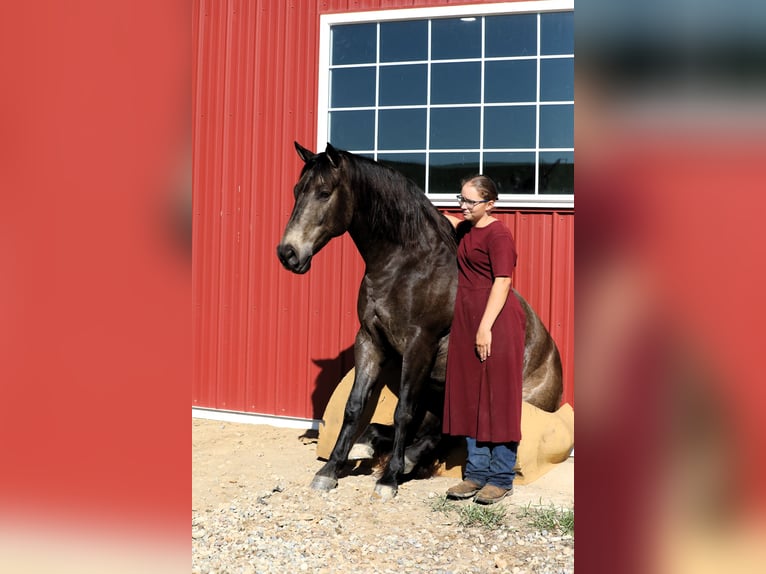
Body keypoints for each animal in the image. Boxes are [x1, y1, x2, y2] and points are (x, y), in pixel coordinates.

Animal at [278, 143, 564, 500]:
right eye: (296, 191)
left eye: (324, 192)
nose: (288, 253)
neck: (407, 266)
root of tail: (554, 363)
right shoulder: (369, 340)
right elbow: (354, 406)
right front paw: (330, 469)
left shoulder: (419, 346)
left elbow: (403, 412)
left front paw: (388, 479)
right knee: (435, 430)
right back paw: (378, 446)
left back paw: (407, 460)